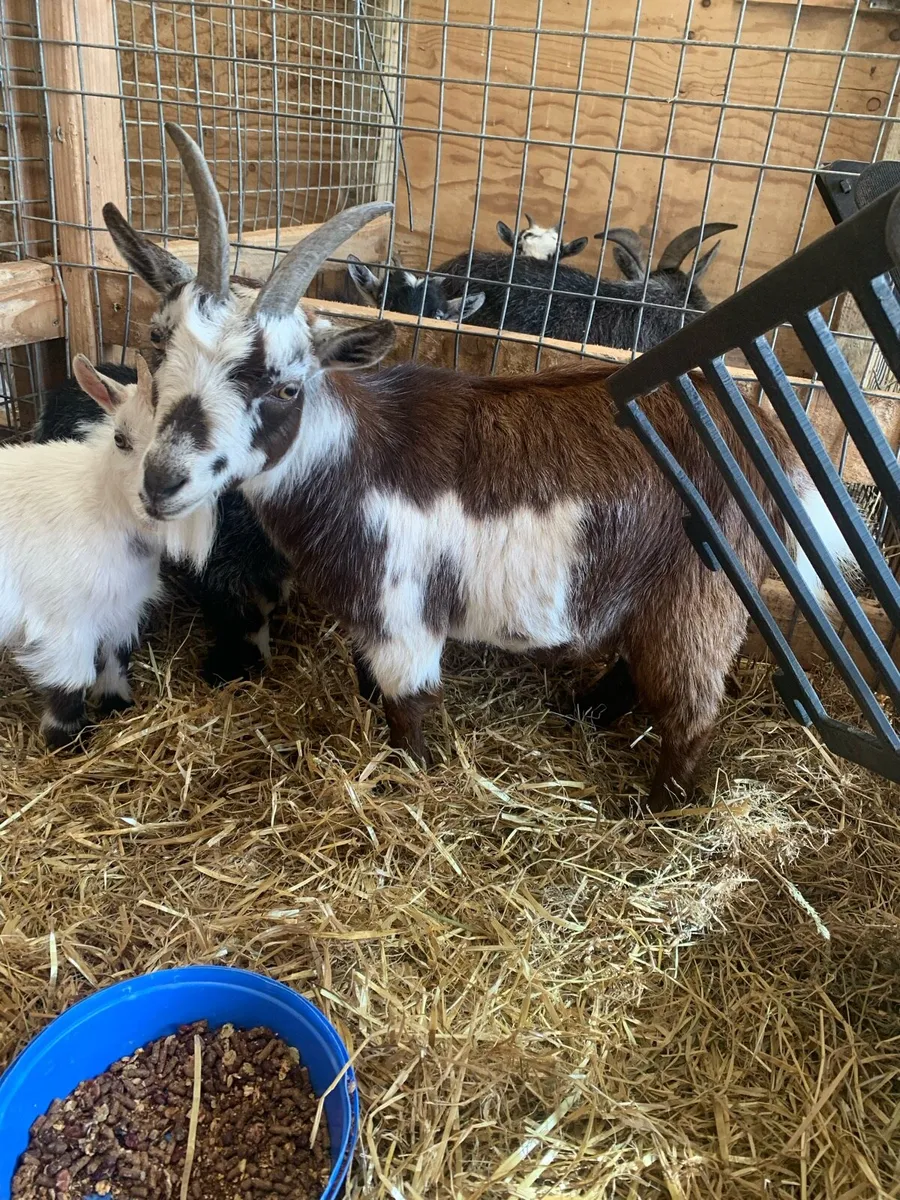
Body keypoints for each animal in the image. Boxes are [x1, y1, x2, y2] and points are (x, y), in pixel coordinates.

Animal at [0, 355, 214, 747]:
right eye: (120, 438)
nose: (155, 495)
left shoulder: (124, 604)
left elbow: (118, 654)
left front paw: (116, 704)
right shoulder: (64, 621)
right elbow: (70, 681)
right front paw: (68, 739)